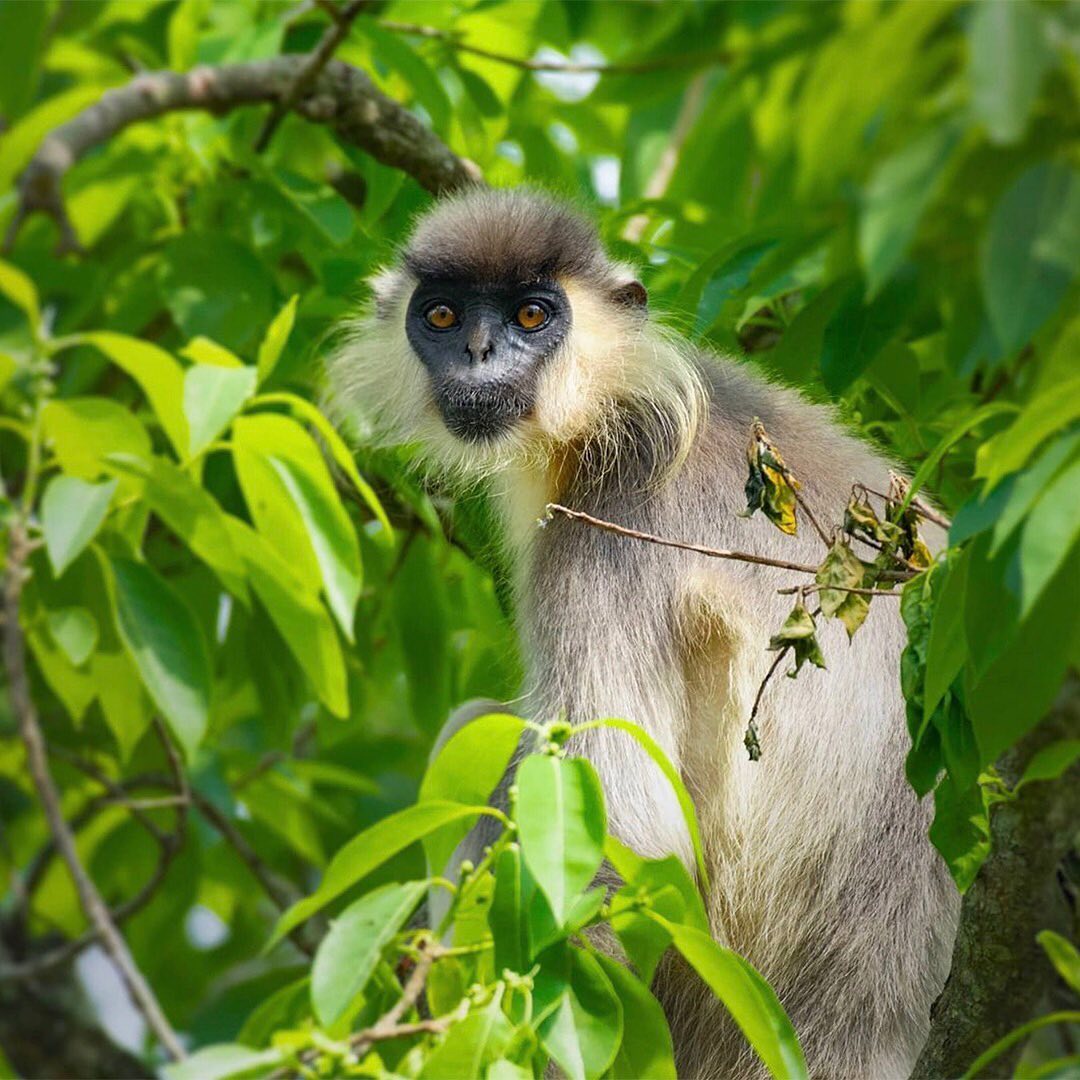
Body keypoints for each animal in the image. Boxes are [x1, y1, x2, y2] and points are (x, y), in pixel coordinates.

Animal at [328, 187, 960, 1079]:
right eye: (443, 316)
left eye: (531, 315)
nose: (480, 352)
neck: (606, 410)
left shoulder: (608, 524)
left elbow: (629, 832)